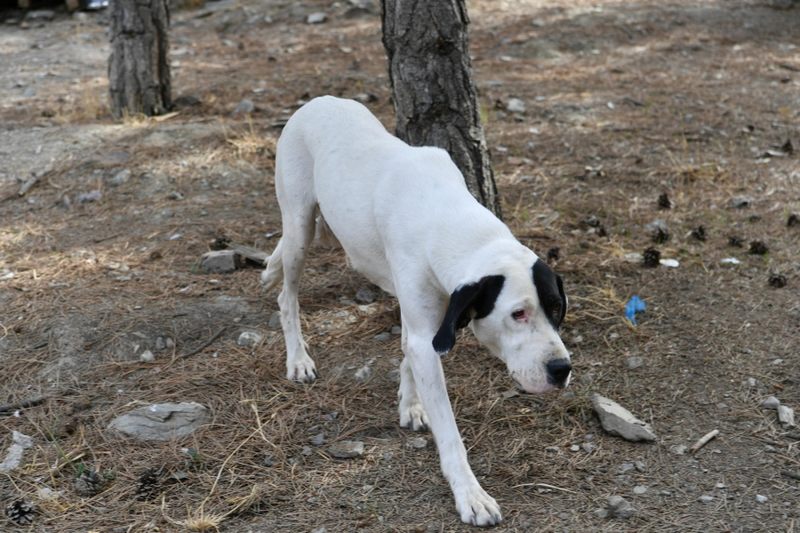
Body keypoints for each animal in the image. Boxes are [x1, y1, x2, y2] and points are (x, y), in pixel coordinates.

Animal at [260, 94, 568, 524]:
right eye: (518, 314)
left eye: (556, 310)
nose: (562, 369)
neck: (449, 219)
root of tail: (318, 100)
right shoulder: (426, 334)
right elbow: (450, 432)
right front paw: (470, 494)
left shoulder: (426, 322)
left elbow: (407, 351)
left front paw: (411, 404)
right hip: (299, 227)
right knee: (287, 296)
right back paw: (298, 359)